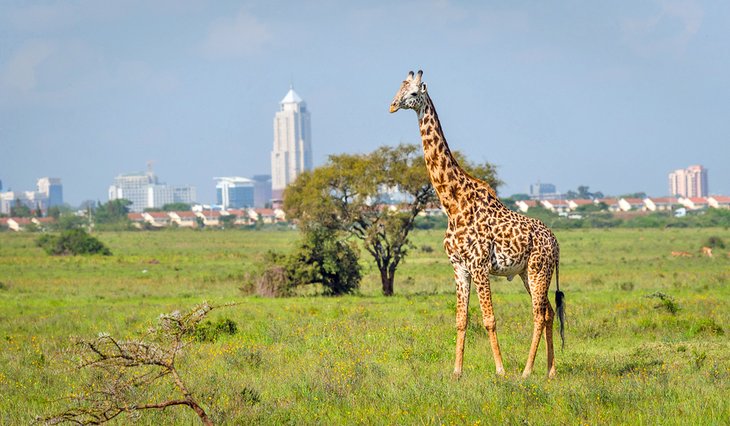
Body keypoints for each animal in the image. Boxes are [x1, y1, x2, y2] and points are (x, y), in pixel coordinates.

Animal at [386, 70, 564, 380]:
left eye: (413, 93)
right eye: (399, 88)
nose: (393, 106)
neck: (453, 203)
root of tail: (555, 242)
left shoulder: (479, 265)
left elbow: (489, 319)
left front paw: (501, 370)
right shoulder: (459, 267)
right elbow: (461, 319)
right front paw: (457, 371)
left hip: (538, 269)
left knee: (538, 315)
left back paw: (527, 371)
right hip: (525, 273)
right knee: (549, 312)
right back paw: (550, 371)